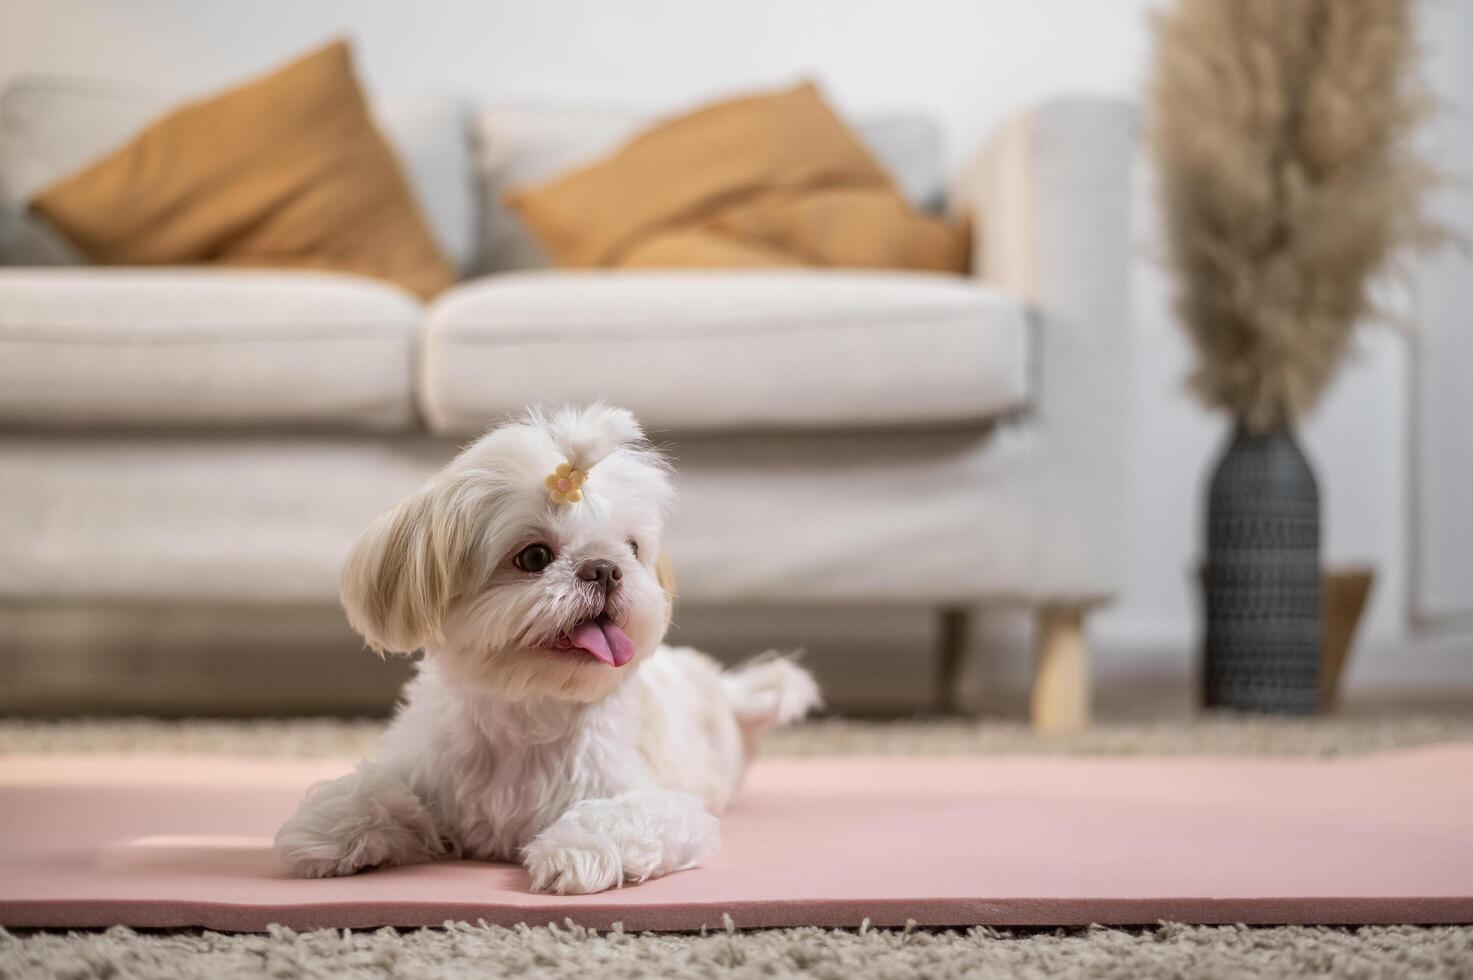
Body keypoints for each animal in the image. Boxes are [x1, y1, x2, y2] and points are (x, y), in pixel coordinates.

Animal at [276, 400, 818, 890]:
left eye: (632, 549)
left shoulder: (663, 805)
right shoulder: (424, 765)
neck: (530, 714)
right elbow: (380, 787)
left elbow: (616, 817)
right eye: (534, 556)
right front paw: (330, 825)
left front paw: (575, 852)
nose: (605, 567)